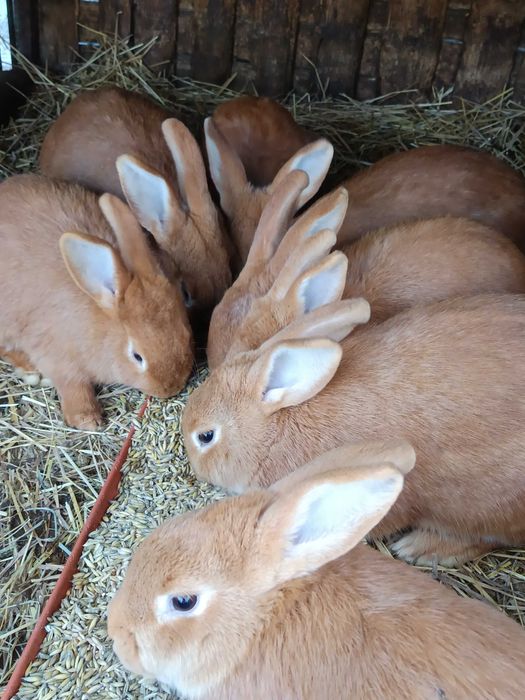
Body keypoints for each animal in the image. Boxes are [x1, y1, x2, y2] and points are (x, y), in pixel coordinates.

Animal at [0, 174, 194, 430]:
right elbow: (73, 387)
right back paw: (31, 371)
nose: (171, 388)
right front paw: (88, 420)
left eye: (185, 333)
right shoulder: (59, 359)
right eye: (137, 356)